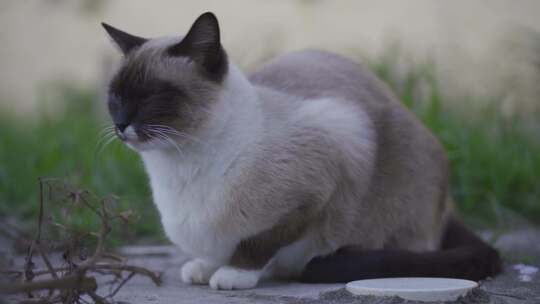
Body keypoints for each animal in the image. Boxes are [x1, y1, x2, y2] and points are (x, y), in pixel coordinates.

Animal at [102, 12, 502, 290]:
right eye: (115, 97)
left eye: (151, 97)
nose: (121, 125)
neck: (180, 167)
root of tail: (448, 206)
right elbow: (213, 250)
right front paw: (204, 266)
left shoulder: (320, 181)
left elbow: (259, 242)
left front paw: (233, 274)